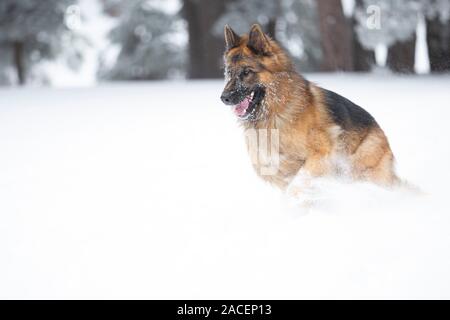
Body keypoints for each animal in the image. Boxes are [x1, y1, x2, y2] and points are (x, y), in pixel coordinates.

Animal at [220, 23, 400, 191]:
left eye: (246, 72)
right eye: (229, 72)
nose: (224, 98)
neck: (276, 111)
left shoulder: (320, 155)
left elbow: (298, 182)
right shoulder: (270, 165)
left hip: (362, 170)